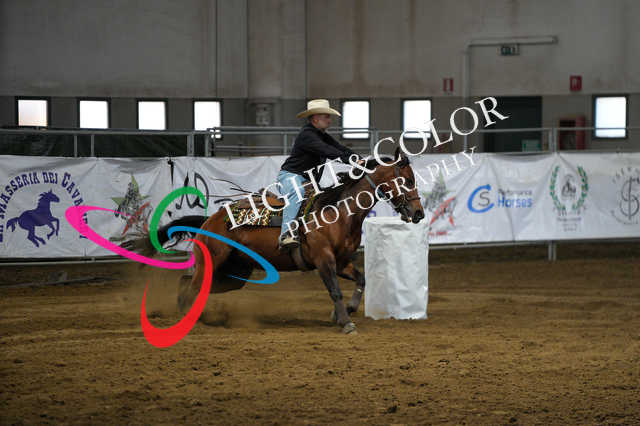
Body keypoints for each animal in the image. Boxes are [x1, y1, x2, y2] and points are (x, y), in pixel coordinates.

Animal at [127, 148, 425, 334]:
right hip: (214, 262)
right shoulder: (324, 260)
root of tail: (209, 221)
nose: (419, 213)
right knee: (193, 285)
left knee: (190, 283)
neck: (337, 211)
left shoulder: (341, 262)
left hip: (234, 273)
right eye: (407, 180)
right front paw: (345, 322)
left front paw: (346, 312)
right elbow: (335, 290)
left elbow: (361, 279)